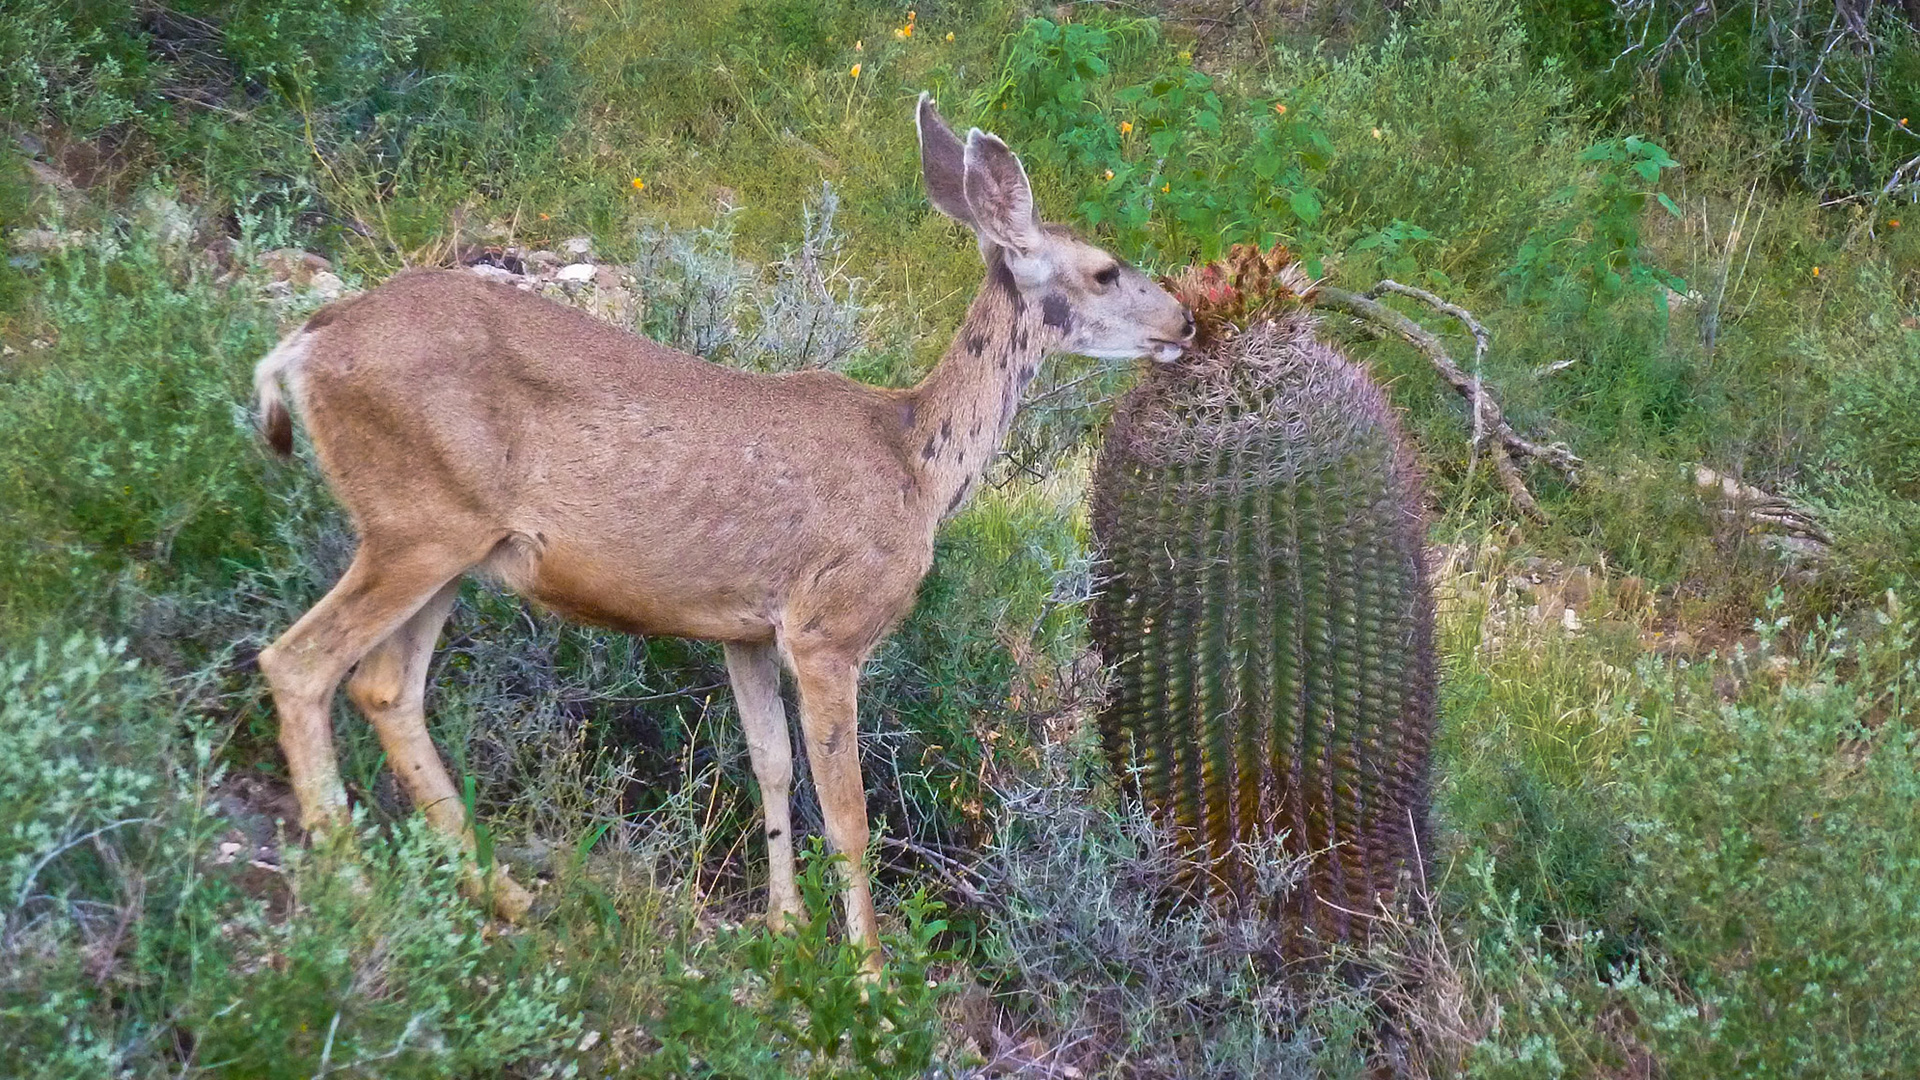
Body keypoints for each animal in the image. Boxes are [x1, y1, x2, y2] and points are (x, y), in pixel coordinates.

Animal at [250, 93, 1194, 965]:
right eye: (1106, 271)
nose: (1184, 321)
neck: (917, 468)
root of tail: (301, 345)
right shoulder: (829, 627)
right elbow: (848, 812)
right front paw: (872, 978)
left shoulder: (745, 628)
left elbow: (770, 763)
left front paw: (784, 925)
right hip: (417, 522)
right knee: (299, 663)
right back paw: (351, 886)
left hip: (454, 546)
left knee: (384, 687)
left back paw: (504, 893)